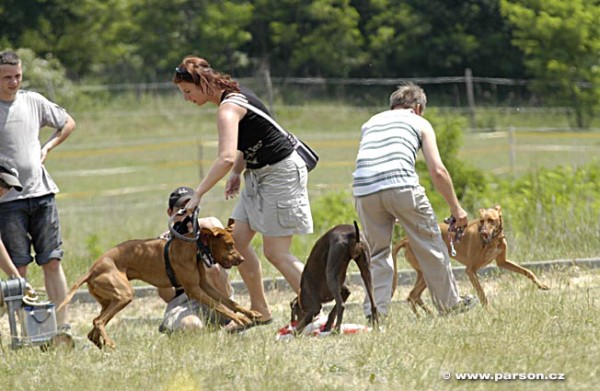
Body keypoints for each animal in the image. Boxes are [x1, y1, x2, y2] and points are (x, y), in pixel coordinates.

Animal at [58, 219, 260, 350]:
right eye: (229, 244)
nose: (241, 259)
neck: (194, 247)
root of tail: (92, 270)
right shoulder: (194, 290)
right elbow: (220, 306)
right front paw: (240, 319)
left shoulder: (204, 285)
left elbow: (230, 302)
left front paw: (250, 313)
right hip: (124, 295)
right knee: (99, 321)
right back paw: (109, 343)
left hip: (110, 300)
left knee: (94, 325)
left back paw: (101, 344)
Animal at [392, 205, 552, 316]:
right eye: (482, 220)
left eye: (491, 220)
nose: (484, 233)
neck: (492, 241)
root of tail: (405, 239)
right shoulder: (470, 270)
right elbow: (482, 294)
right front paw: (490, 312)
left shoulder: (502, 262)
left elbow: (527, 270)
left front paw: (541, 285)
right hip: (431, 270)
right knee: (412, 295)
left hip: (425, 273)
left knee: (413, 296)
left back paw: (429, 316)